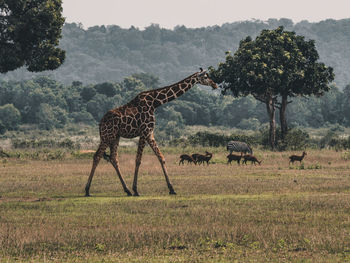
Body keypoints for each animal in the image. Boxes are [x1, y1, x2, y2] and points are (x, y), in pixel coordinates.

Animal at [84, 69, 219, 197]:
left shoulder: (150, 133)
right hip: (107, 136)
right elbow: (138, 160)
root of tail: (100, 123)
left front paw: (171, 189)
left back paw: (126, 190)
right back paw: (87, 190)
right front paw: (136, 190)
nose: (215, 84)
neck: (155, 102)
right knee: (97, 156)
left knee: (113, 158)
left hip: (115, 137)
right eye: (205, 76)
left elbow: (161, 157)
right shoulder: (144, 132)